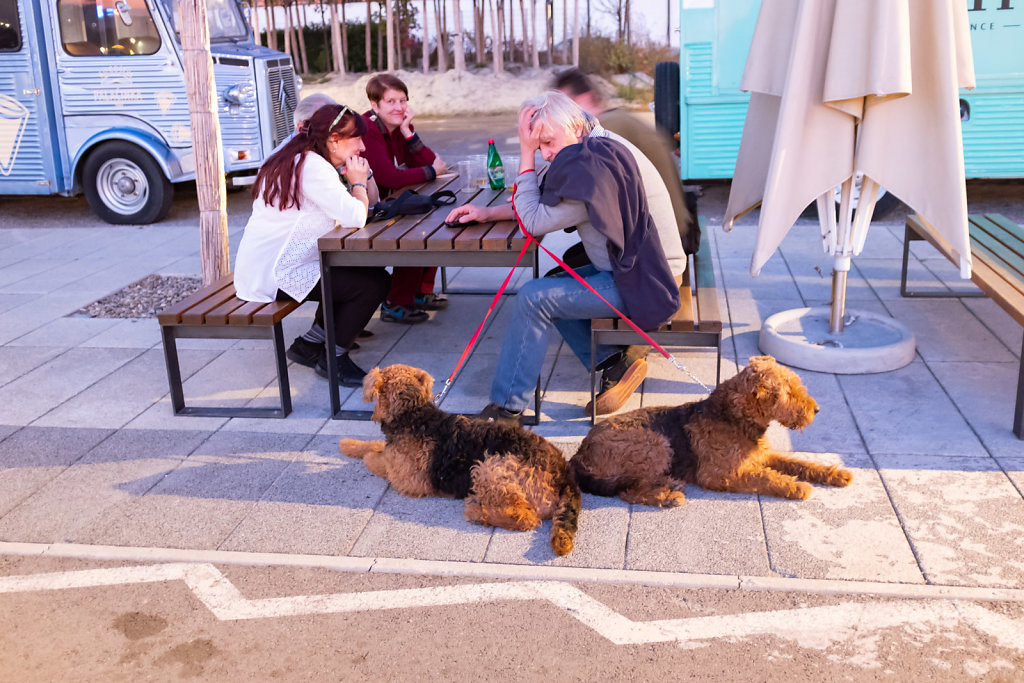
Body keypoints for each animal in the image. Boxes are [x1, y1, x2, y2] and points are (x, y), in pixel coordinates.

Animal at [339, 362, 581, 557]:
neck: (413, 413)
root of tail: (566, 475)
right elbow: (374, 446)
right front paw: (347, 444)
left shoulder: (409, 479)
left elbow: (375, 459)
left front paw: (363, 454)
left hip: (489, 466)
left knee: (525, 517)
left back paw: (478, 512)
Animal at [573, 356, 851, 505]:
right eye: (788, 393)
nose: (816, 410)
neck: (735, 417)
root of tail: (580, 453)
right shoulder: (720, 475)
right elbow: (765, 477)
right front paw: (797, 487)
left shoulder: (762, 456)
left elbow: (799, 463)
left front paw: (837, 474)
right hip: (657, 444)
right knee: (627, 491)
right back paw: (668, 496)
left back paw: (668, 484)